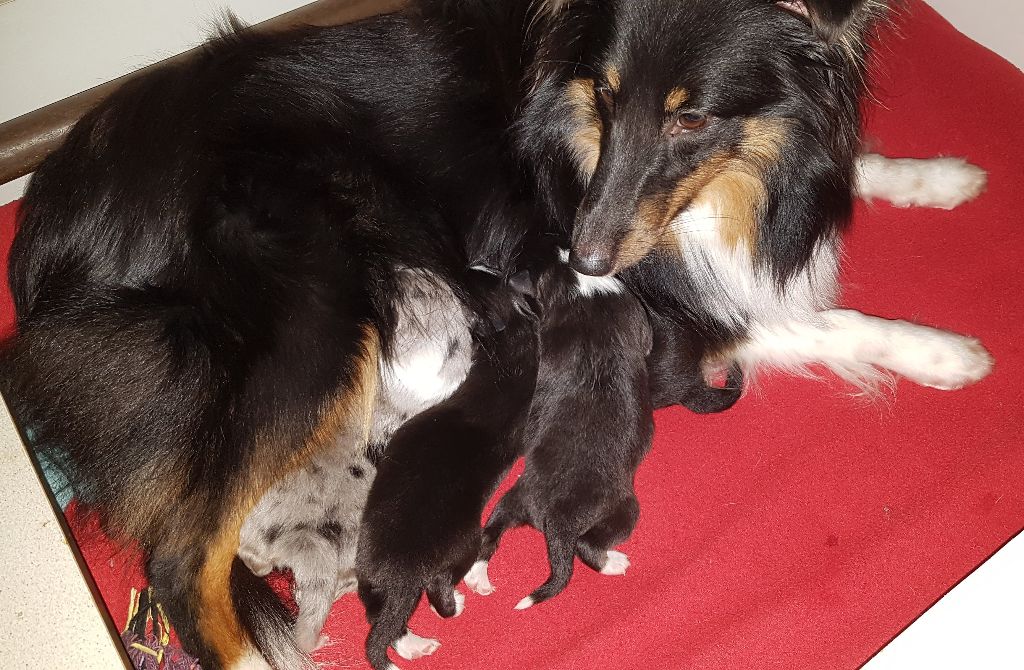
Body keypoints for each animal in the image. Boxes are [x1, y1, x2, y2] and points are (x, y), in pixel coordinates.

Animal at [356, 271, 541, 670]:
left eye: (477, 284)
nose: (472, 266)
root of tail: (402, 572)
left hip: (392, 571)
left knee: (393, 616)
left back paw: (423, 635)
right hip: (435, 558)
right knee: (417, 602)